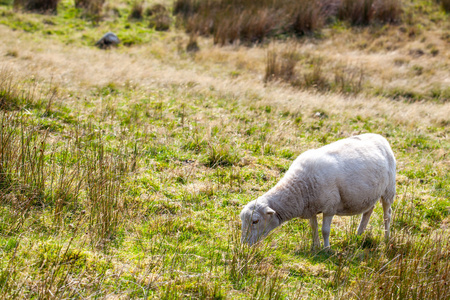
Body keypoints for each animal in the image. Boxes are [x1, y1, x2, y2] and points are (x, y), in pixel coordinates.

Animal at [241, 133, 396, 248]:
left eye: (255, 221)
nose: (243, 244)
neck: (300, 186)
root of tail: (379, 137)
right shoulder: (310, 208)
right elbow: (314, 227)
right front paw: (315, 246)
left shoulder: (330, 207)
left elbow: (325, 230)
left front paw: (326, 248)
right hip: (370, 194)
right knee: (368, 212)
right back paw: (358, 235)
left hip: (389, 190)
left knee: (387, 214)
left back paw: (387, 237)